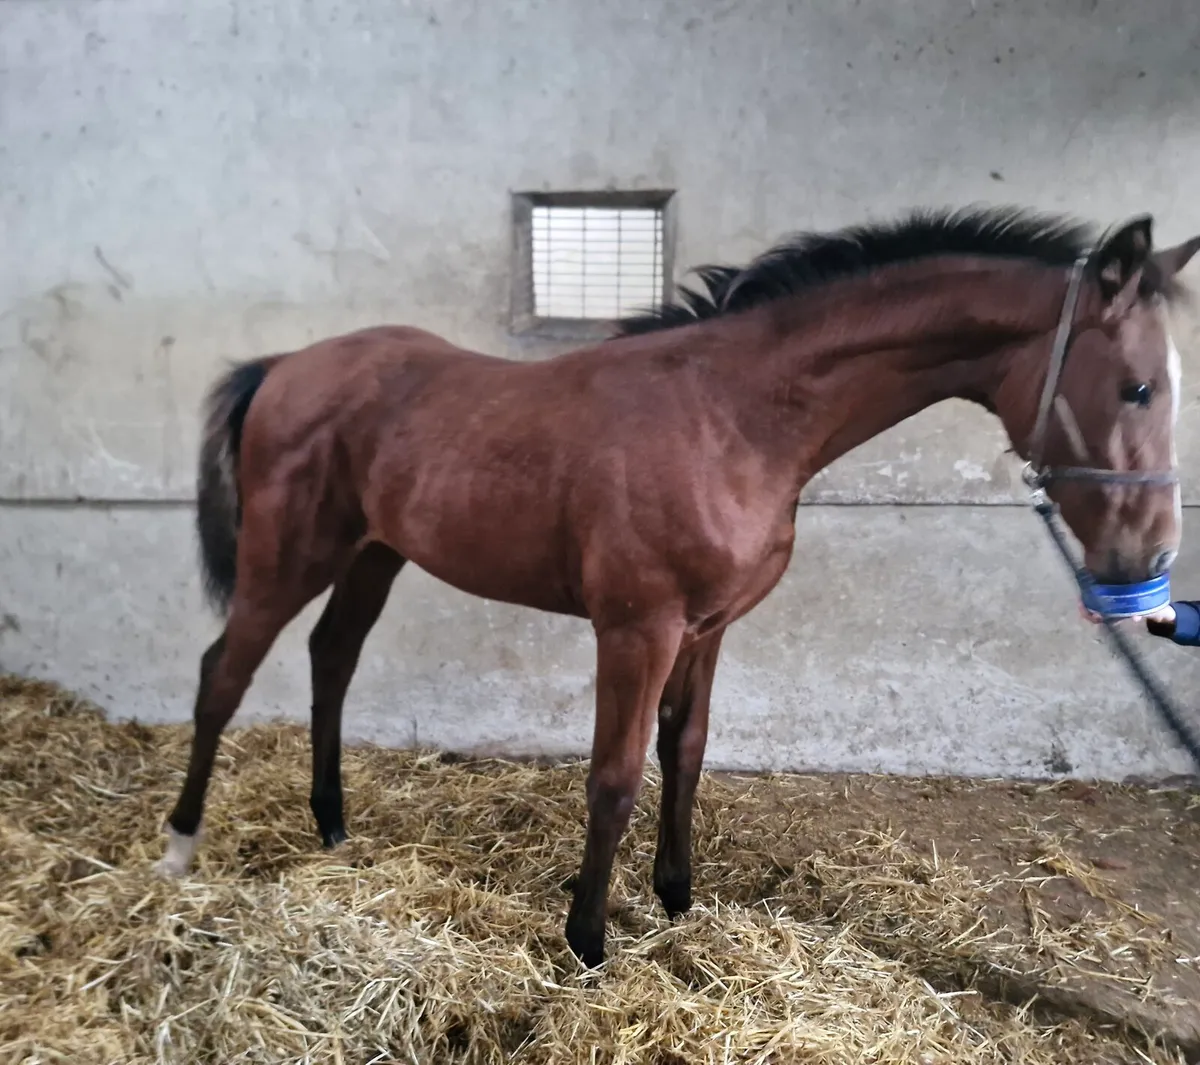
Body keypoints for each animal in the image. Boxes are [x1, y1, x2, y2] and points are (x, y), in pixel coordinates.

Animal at [154, 205, 1200, 968]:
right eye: (1139, 386)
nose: (1146, 568)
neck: (731, 417)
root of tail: (284, 366)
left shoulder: (708, 628)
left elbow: (686, 752)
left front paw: (677, 900)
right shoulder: (637, 628)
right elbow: (614, 776)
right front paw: (586, 941)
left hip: (375, 552)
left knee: (331, 656)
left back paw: (332, 827)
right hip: (287, 557)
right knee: (220, 674)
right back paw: (180, 847)